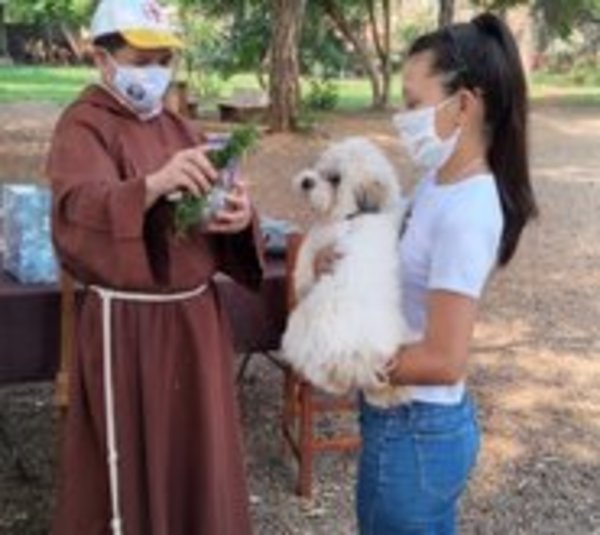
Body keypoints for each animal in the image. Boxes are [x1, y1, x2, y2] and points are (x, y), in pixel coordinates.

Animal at [284, 136, 414, 408]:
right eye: (320, 167)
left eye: (335, 179)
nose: (307, 181)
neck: (353, 215)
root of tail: (355, 355)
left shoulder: (317, 240)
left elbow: (304, 265)